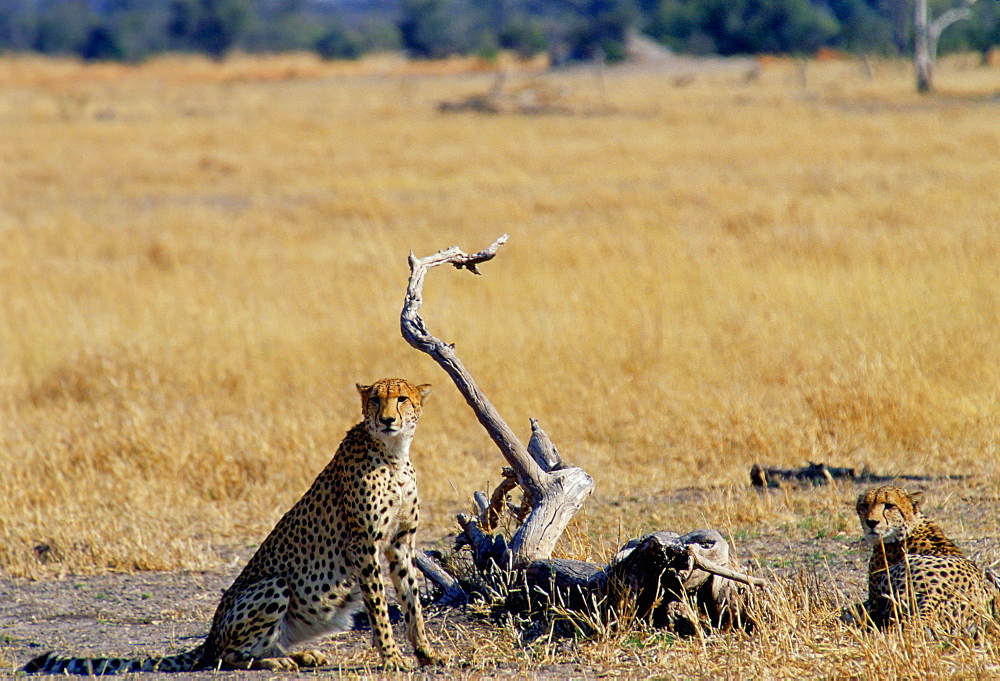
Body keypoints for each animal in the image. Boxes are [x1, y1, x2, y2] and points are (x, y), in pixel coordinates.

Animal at [23, 378, 444, 676]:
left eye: (402, 399)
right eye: (375, 400)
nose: (387, 419)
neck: (392, 454)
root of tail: (210, 634)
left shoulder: (401, 541)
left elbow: (411, 600)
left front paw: (425, 652)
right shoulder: (363, 543)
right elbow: (379, 606)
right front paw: (392, 657)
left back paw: (301, 655)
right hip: (273, 584)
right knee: (226, 656)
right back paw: (277, 662)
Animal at [844, 480, 1000, 636]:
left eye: (889, 505)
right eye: (864, 505)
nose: (871, 522)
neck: (908, 528)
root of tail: (934, 596)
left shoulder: (874, 600)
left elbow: (855, 607)